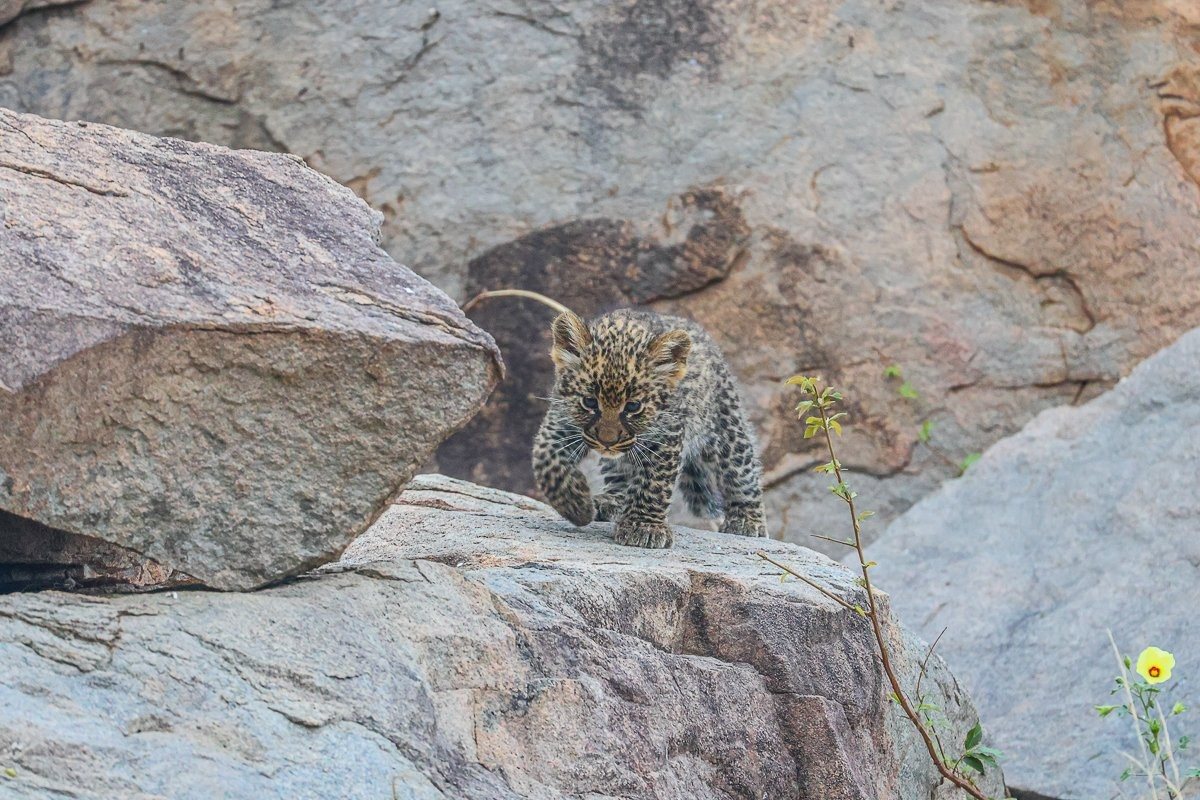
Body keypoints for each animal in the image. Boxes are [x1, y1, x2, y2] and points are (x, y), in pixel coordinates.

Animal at [531, 308, 767, 548]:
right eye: (589, 402)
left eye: (633, 406)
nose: (607, 442)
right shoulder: (560, 421)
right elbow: (546, 459)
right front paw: (577, 507)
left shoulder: (666, 437)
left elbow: (654, 484)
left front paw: (644, 527)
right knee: (621, 475)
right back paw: (609, 501)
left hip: (726, 425)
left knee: (742, 471)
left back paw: (747, 520)